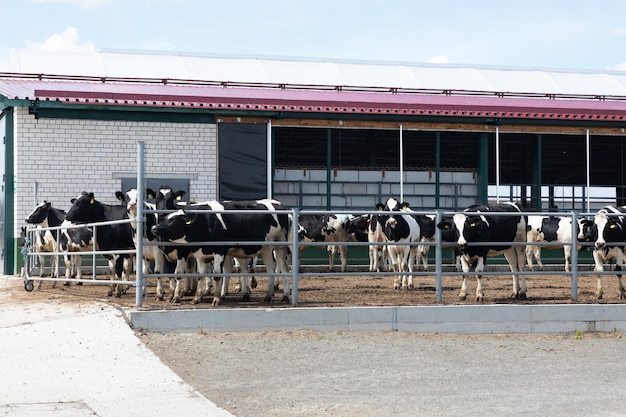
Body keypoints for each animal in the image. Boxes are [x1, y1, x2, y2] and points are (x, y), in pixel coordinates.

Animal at [151, 197, 290, 304]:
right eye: (165, 218)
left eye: (174, 220)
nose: (154, 228)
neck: (204, 222)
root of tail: (280, 205)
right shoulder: (198, 254)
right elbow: (200, 275)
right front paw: (196, 298)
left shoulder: (217, 251)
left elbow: (216, 275)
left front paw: (216, 299)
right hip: (266, 247)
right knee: (270, 269)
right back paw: (266, 296)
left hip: (280, 244)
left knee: (284, 269)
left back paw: (285, 297)